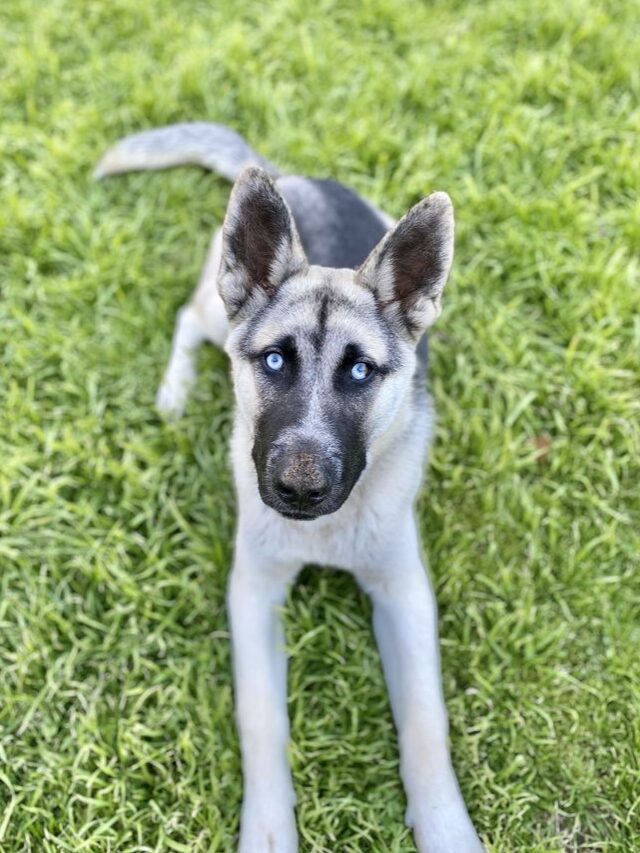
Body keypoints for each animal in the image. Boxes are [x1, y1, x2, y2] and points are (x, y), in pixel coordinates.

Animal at [96, 121, 484, 852]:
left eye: (360, 372)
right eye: (275, 361)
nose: (298, 490)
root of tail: (285, 173)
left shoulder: (405, 593)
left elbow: (425, 720)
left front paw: (446, 824)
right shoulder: (253, 592)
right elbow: (261, 719)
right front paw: (270, 825)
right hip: (217, 312)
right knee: (189, 318)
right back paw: (174, 393)